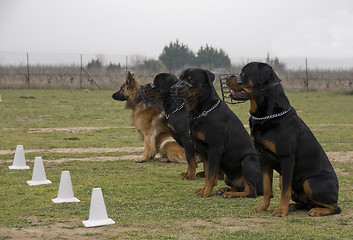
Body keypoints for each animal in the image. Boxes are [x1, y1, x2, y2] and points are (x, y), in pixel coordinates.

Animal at [170, 68, 262, 199]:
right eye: (180, 78)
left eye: (191, 79)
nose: (174, 88)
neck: (201, 110)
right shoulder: (204, 151)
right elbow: (208, 173)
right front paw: (204, 190)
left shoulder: (214, 149)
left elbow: (211, 175)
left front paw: (206, 193)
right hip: (228, 176)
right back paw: (224, 190)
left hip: (248, 161)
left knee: (251, 192)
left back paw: (230, 194)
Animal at [224, 61, 340, 217]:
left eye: (244, 72)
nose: (226, 77)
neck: (266, 116)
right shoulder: (264, 159)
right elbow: (267, 188)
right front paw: (263, 207)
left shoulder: (287, 158)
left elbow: (285, 190)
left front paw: (280, 211)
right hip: (285, 179)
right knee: (306, 203)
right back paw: (294, 206)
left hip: (309, 182)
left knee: (334, 207)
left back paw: (317, 210)